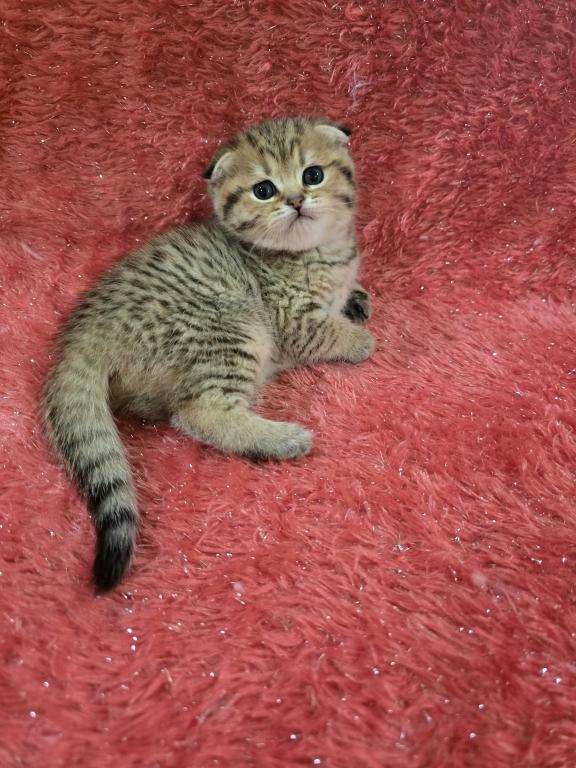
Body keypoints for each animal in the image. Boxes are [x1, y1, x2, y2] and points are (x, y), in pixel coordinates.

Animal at [42, 116, 374, 592]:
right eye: (264, 190)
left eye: (313, 175)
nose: (295, 200)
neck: (316, 253)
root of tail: (82, 334)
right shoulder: (291, 320)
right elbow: (328, 332)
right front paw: (360, 339)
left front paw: (357, 299)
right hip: (233, 325)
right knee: (199, 411)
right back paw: (281, 439)